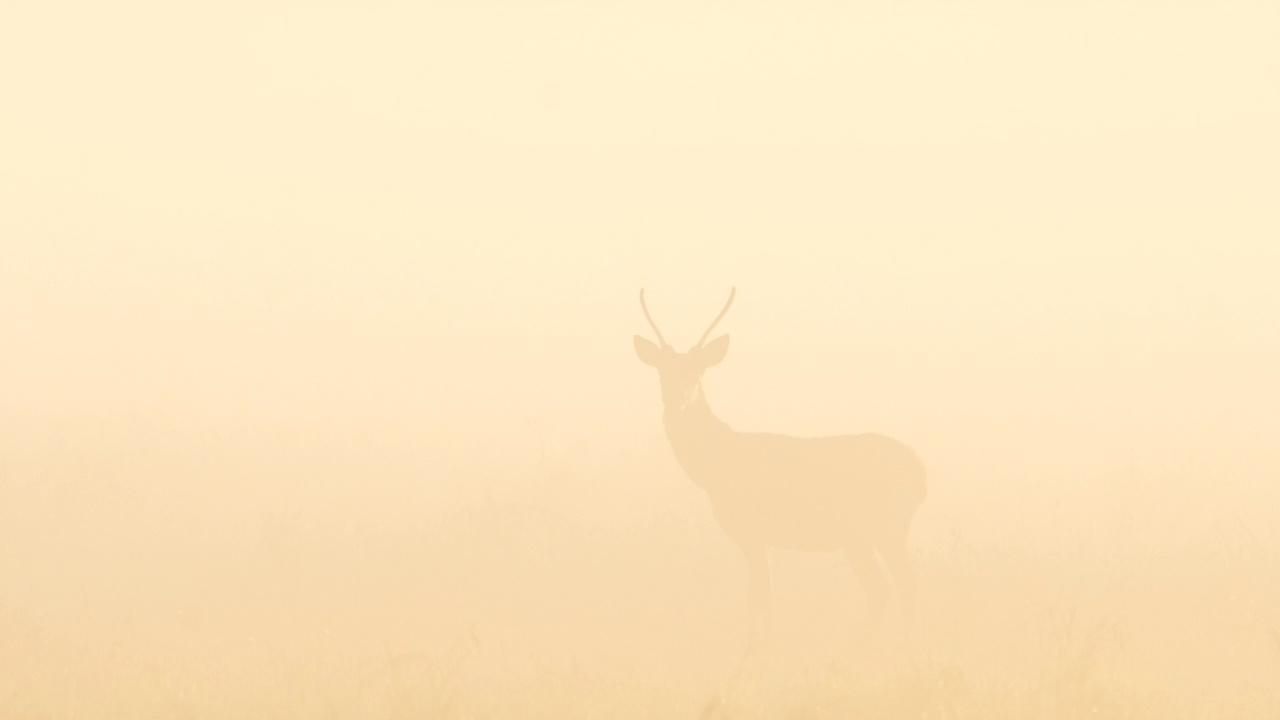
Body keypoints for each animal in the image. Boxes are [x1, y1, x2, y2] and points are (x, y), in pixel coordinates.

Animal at [632, 285, 926, 650]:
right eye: (663, 371)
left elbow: (759, 597)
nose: (678, 399)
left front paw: (760, 651)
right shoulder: (759, 538)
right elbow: (760, 596)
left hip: (882, 527)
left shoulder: (753, 530)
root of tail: (920, 472)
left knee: (899, 586)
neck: (717, 467)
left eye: (698, 372)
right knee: (886, 588)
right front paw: (760, 648)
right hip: (867, 535)